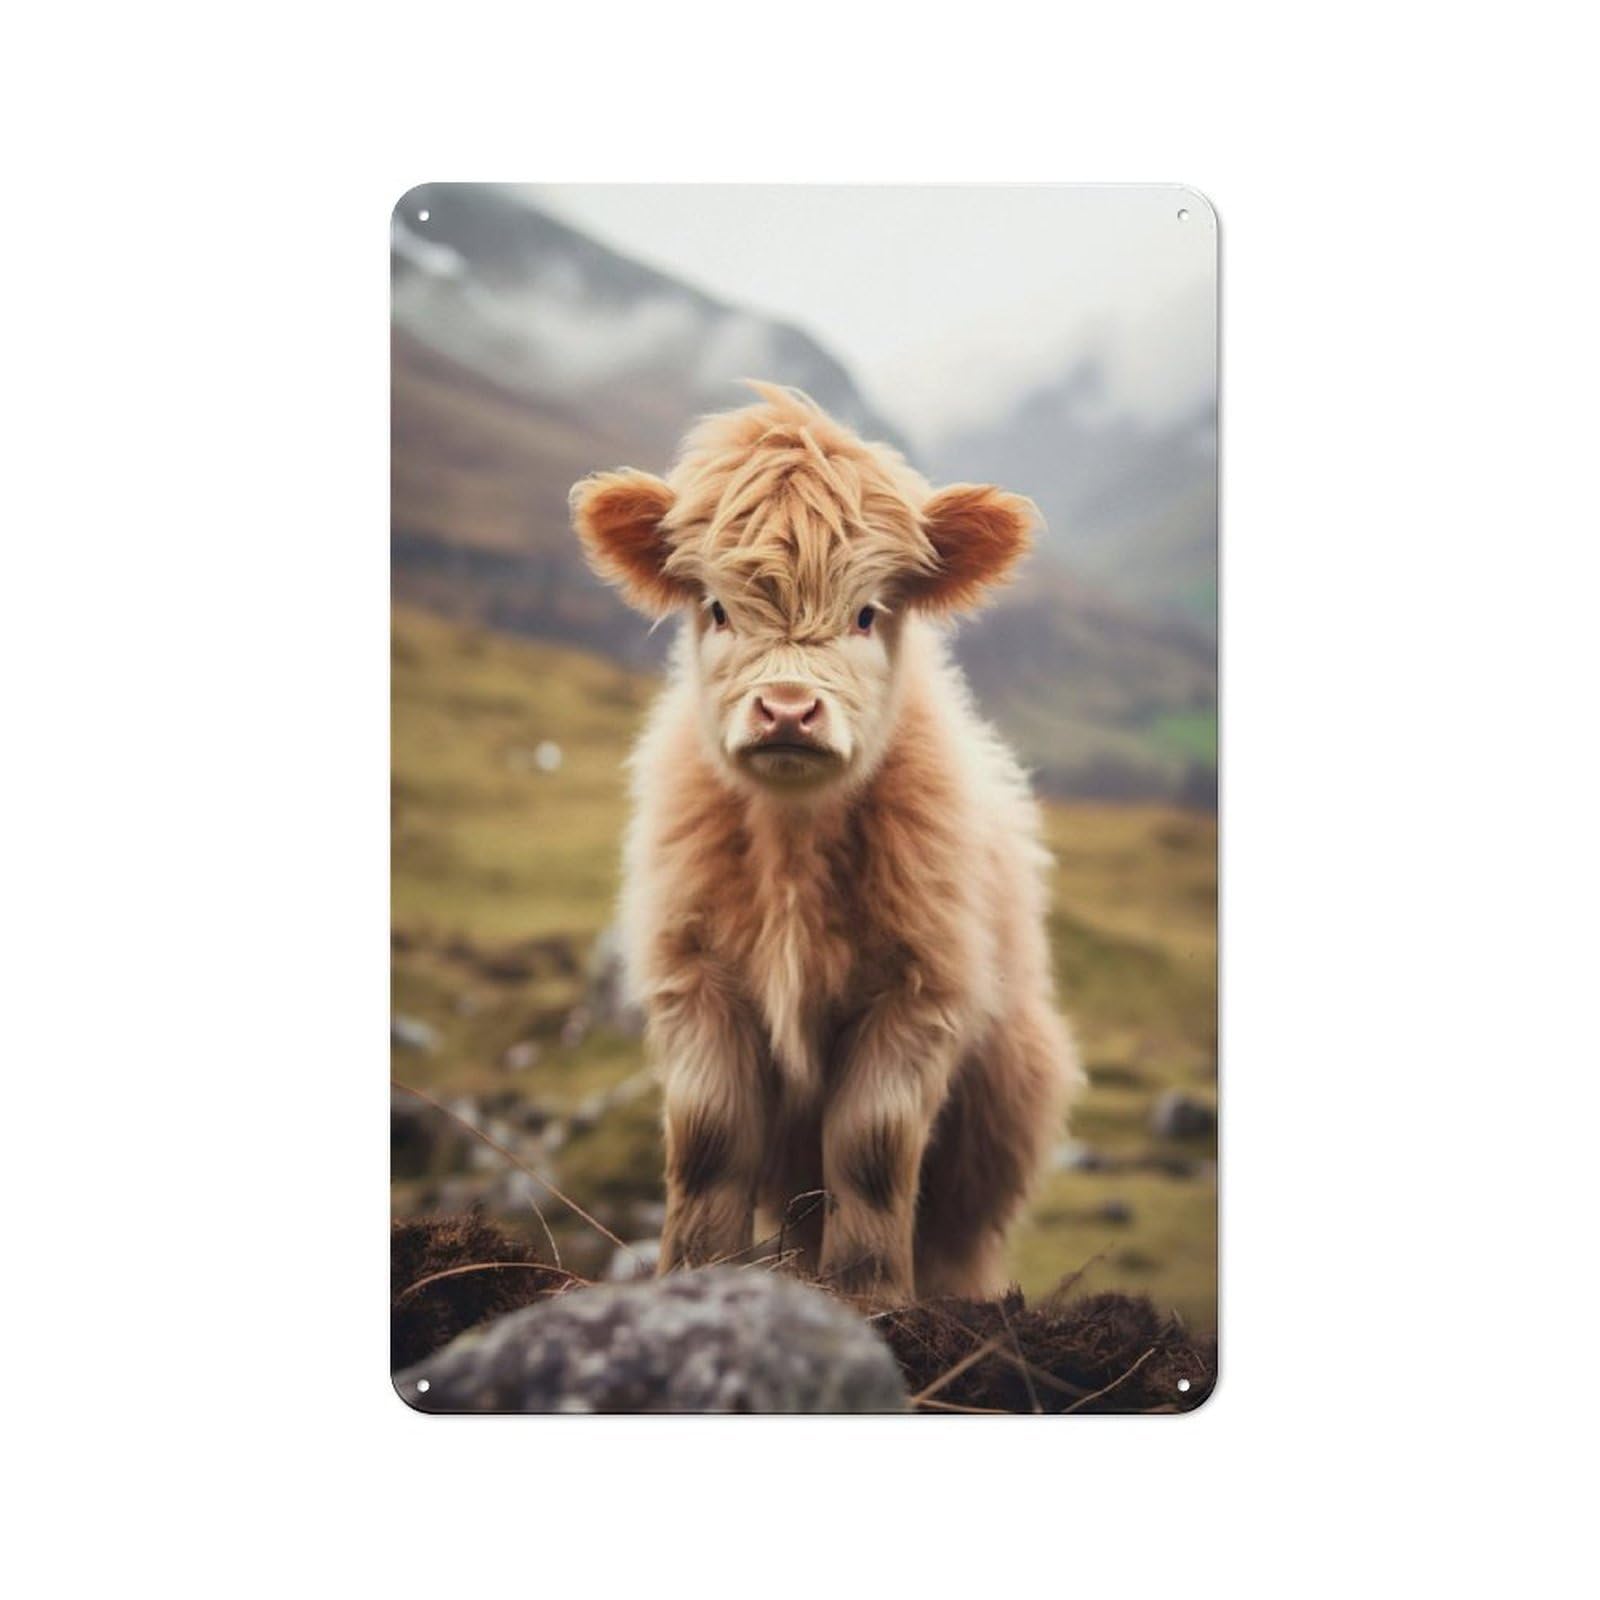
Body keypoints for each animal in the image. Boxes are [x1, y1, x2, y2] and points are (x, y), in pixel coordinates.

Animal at [570, 385, 1081, 1304]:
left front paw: (873, 1300)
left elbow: (871, 1156)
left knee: (955, 1232)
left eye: (868, 612)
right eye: (717, 608)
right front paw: (693, 1275)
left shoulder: (917, 995)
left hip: (998, 1125)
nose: (786, 710)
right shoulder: (696, 979)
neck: (792, 844)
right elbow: (708, 1147)